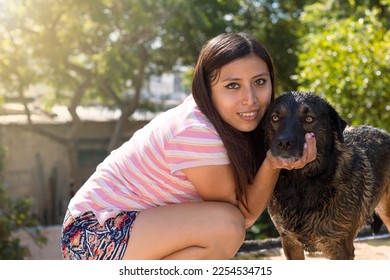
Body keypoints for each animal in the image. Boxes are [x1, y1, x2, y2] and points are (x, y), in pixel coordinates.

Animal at [264, 91, 388, 260]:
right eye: (275, 118)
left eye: (309, 119)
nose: (284, 143)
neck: (301, 183)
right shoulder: (289, 242)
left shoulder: (340, 248)